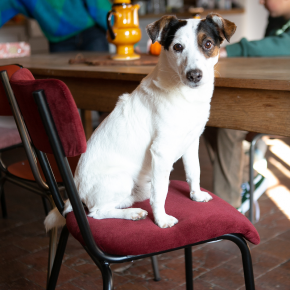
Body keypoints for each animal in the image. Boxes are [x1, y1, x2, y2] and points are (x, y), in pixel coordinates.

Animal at [44, 13, 236, 230]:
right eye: (178, 47)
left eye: (208, 43)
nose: (194, 75)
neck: (186, 96)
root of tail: (75, 193)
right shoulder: (161, 152)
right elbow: (160, 193)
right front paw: (161, 220)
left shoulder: (192, 142)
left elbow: (194, 171)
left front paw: (196, 195)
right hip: (121, 180)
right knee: (97, 212)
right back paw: (132, 213)